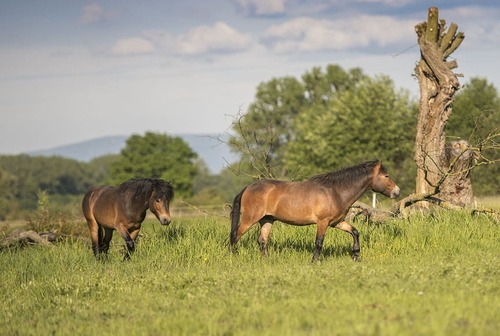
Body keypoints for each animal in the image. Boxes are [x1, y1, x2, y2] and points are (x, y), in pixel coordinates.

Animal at [229, 161, 398, 262]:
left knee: (262, 240)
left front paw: (355, 255)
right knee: (235, 236)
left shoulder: (336, 222)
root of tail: (248, 187)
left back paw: (267, 260)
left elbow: (355, 232)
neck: (335, 191)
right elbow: (319, 242)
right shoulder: (322, 222)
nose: (397, 192)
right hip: (249, 219)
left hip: (267, 219)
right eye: (386, 176)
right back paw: (232, 256)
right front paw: (314, 261)